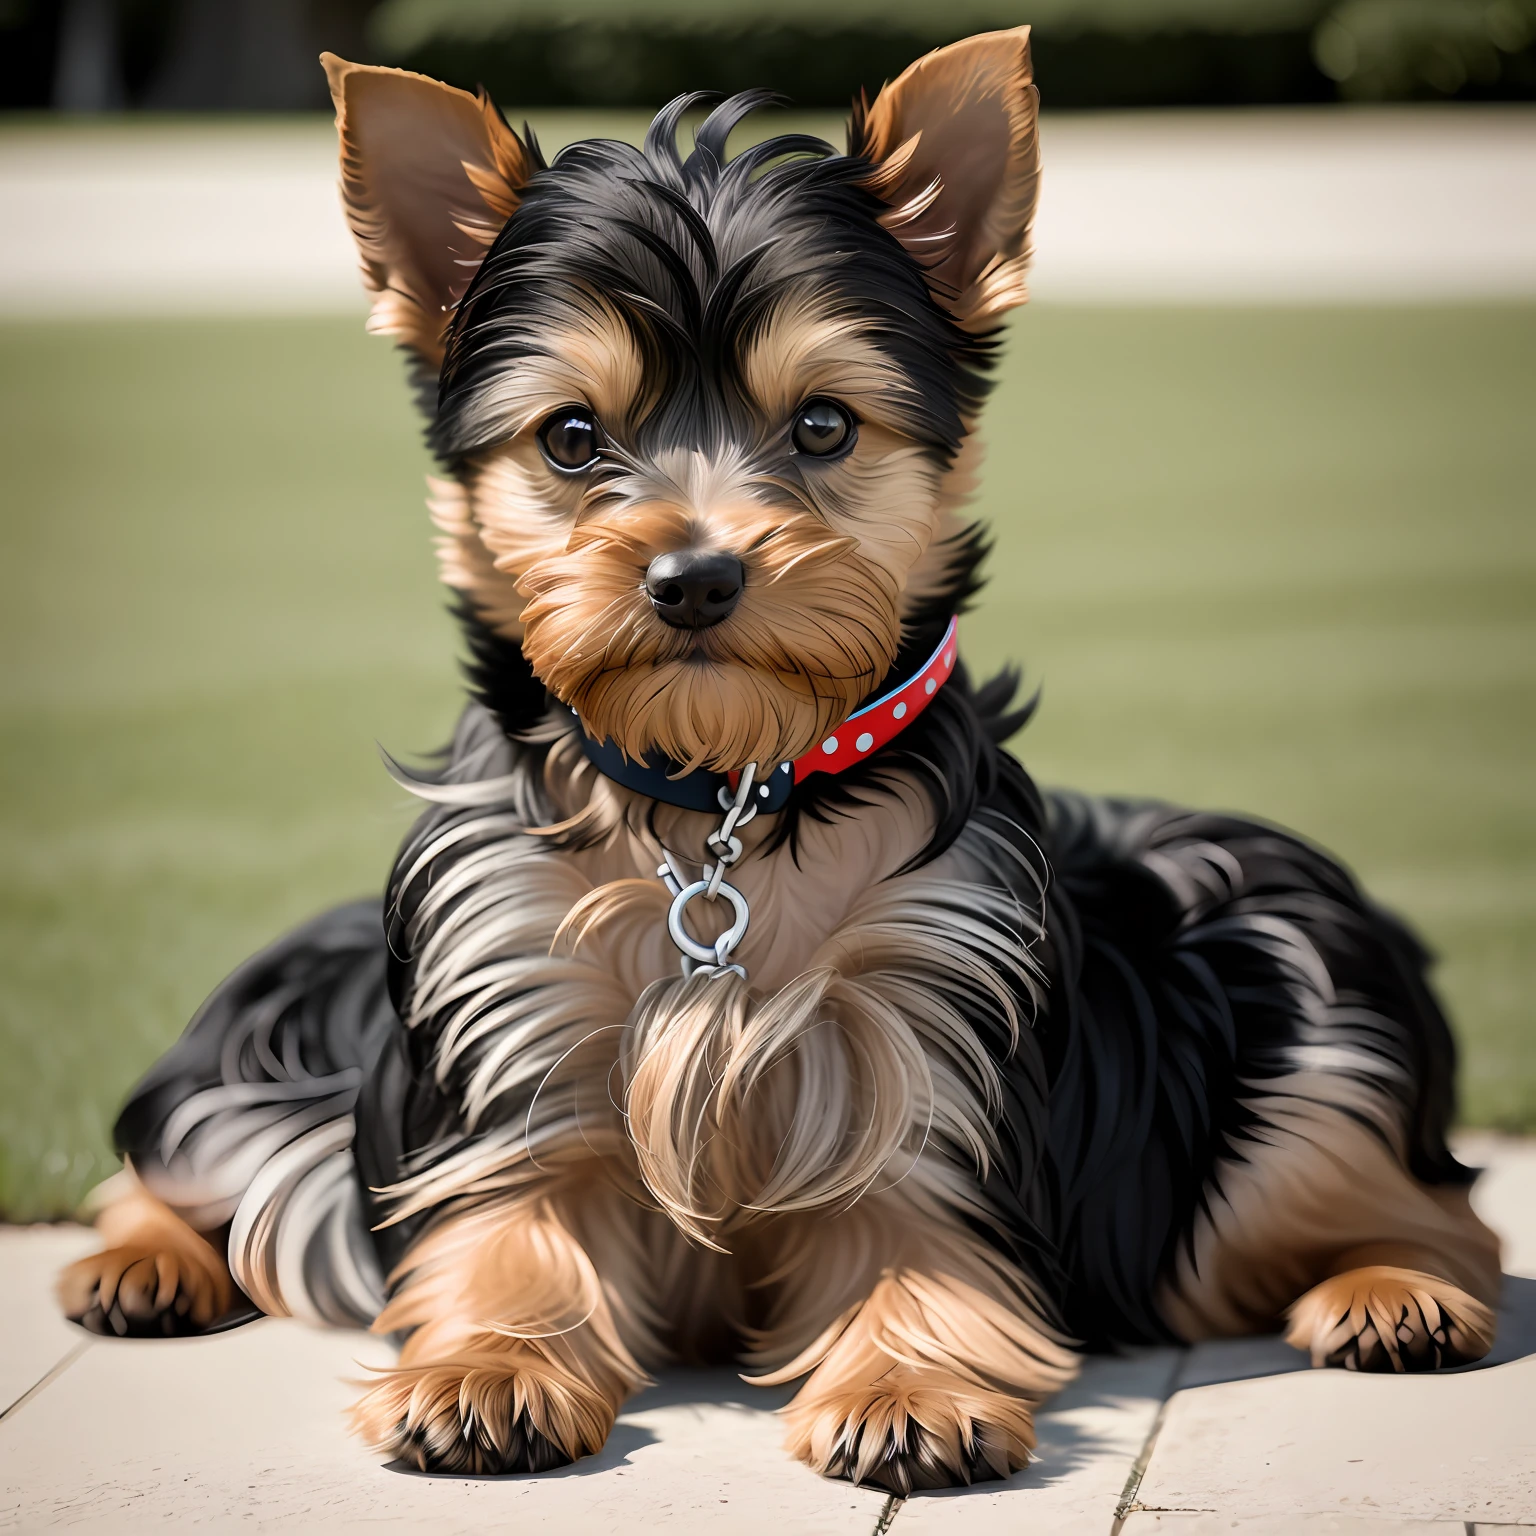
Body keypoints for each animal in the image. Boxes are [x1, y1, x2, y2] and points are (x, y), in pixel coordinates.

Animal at [59, 24, 1499, 1486]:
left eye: (822, 425)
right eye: (571, 436)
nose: (695, 577)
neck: (724, 789)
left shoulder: (935, 1002)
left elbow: (919, 1211)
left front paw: (910, 1384)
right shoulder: (511, 1001)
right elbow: (508, 1205)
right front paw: (488, 1365)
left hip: (1303, 984)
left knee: (1428, 1198)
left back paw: (1396, 1293)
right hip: (275, 1067)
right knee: (196, 1159)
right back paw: (138, 1267)